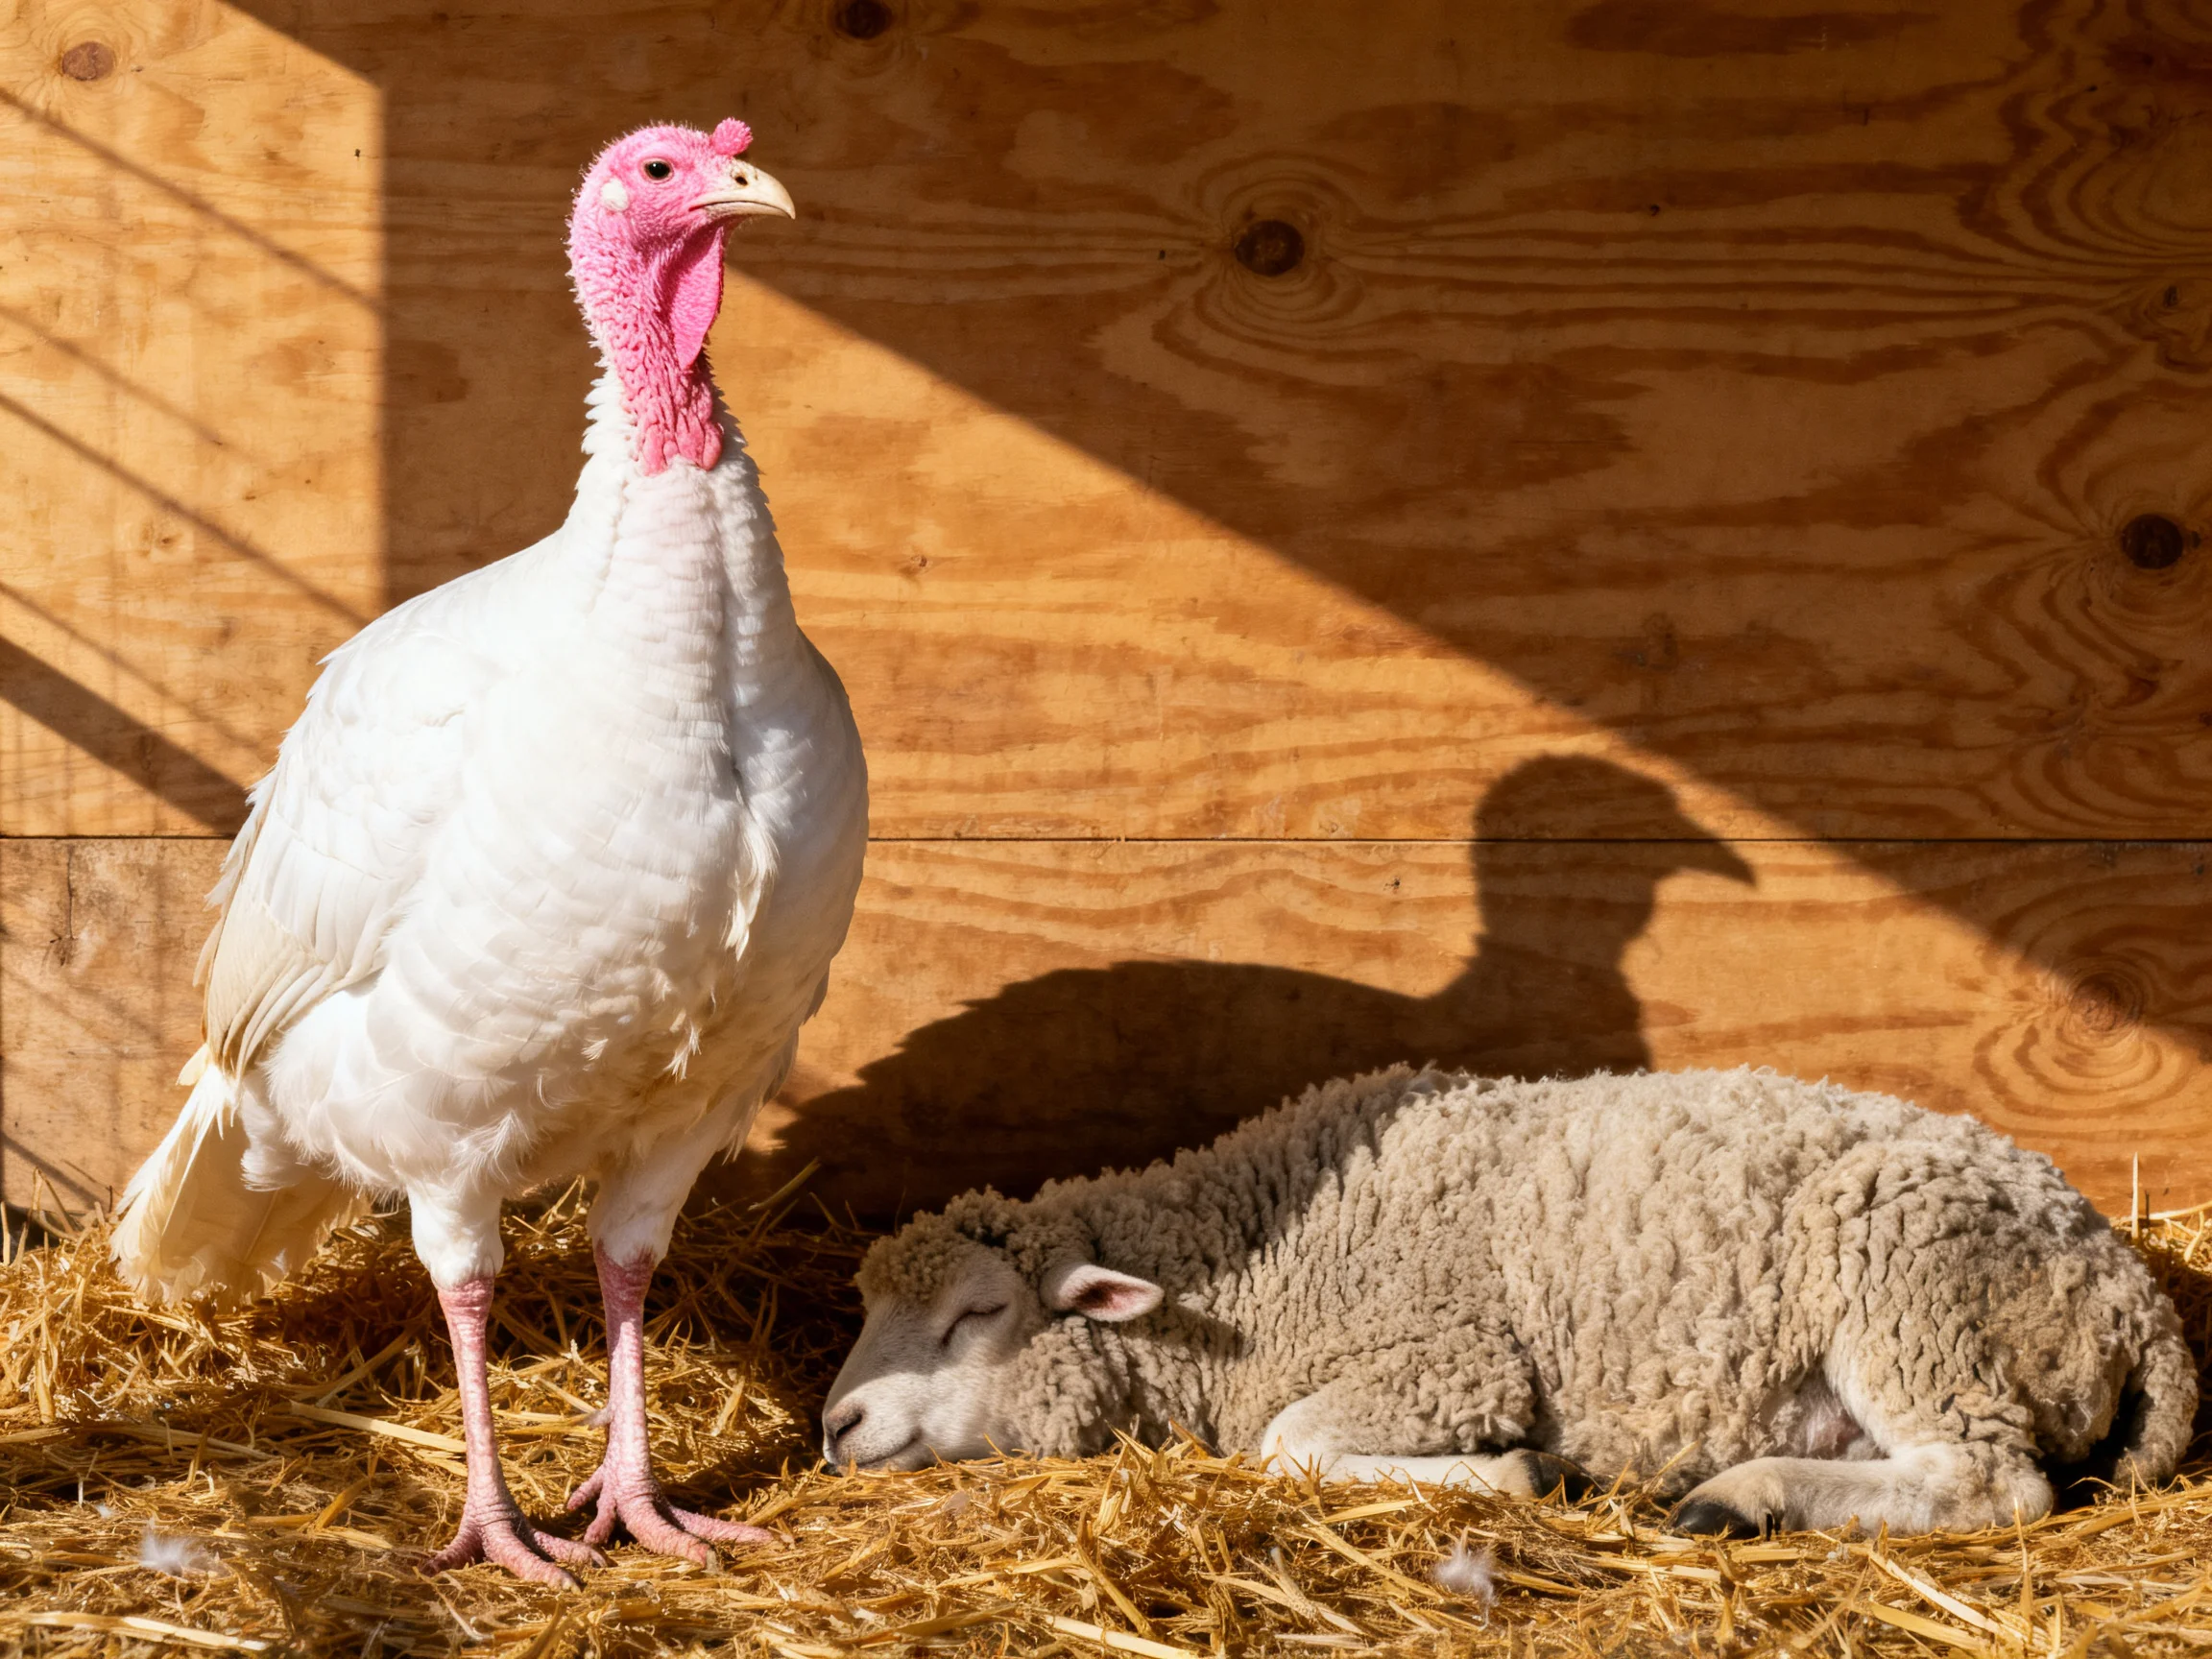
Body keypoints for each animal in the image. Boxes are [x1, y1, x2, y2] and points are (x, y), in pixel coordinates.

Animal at [820, 1066, 2196, 1536]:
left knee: (1992, 1486)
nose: (833, 1427)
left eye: (978, 1315)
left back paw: (1737, 1498)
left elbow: (1286, 1444)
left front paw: (1517, 1473)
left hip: (1916, 1290)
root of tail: (2134, 1293)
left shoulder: (1449, 1355)